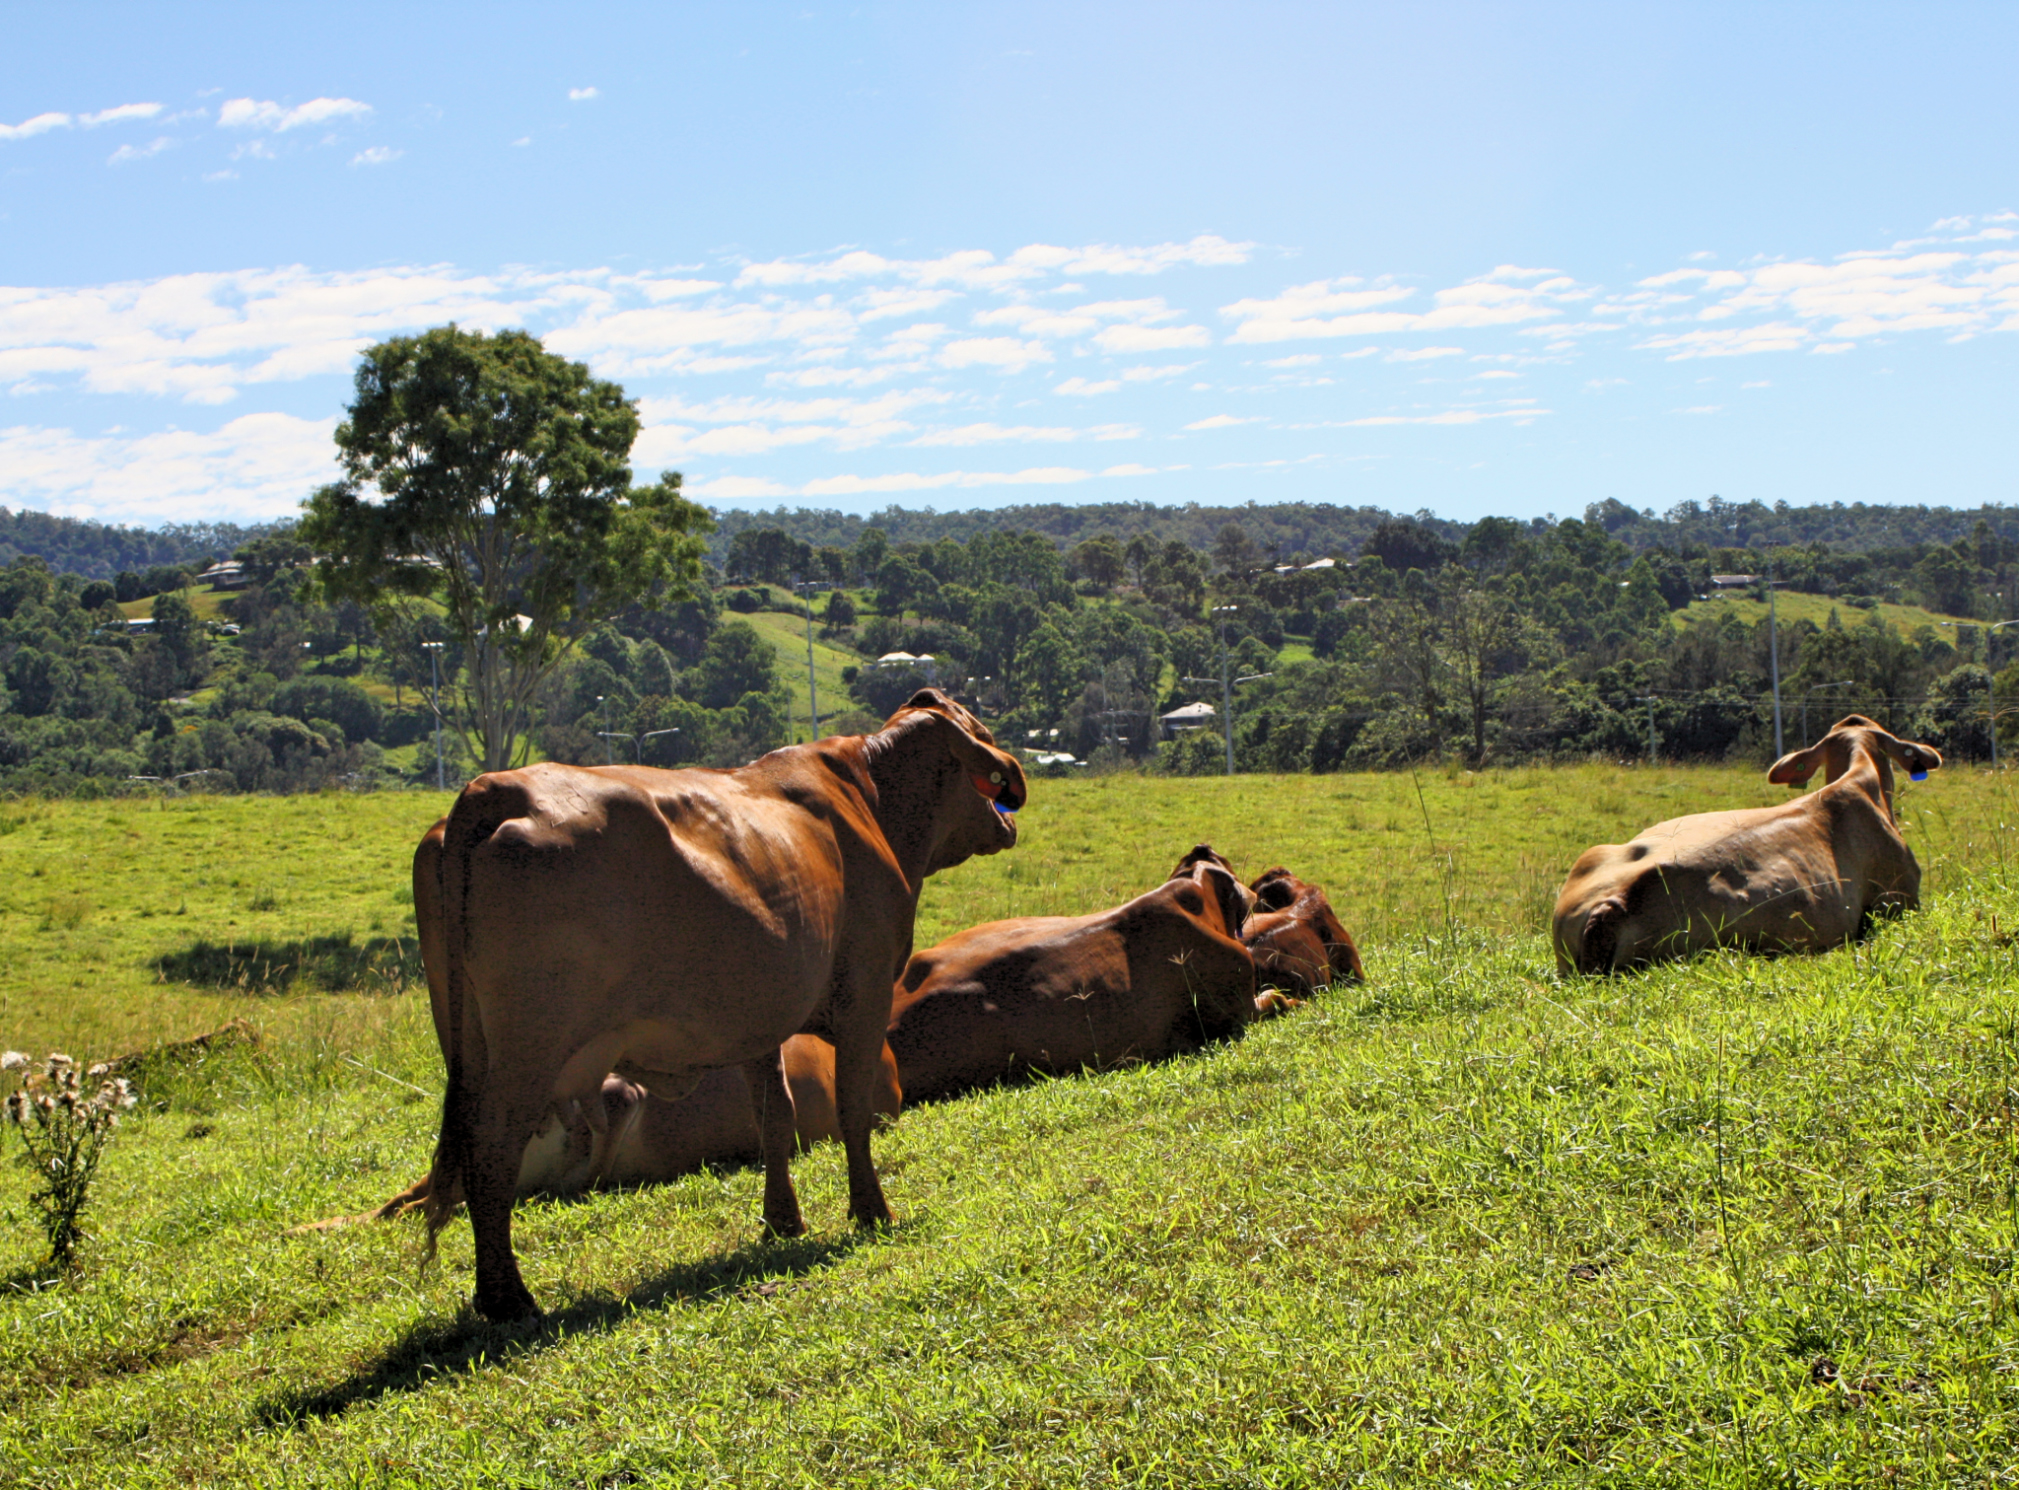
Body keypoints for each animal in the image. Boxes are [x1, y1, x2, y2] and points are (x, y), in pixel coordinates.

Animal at [428, 686, 1025, 1308]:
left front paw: (782, 1221)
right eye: (980, 730)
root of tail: (497, 787)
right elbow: (852, 1109)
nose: (1010, 797)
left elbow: (774, 1116)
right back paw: (506, 1298)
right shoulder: (865, 992)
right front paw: (871, 1212)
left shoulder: (761, 1018)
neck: (872, 798)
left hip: (469, 1047)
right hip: (531, 1051)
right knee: (491, 1152)